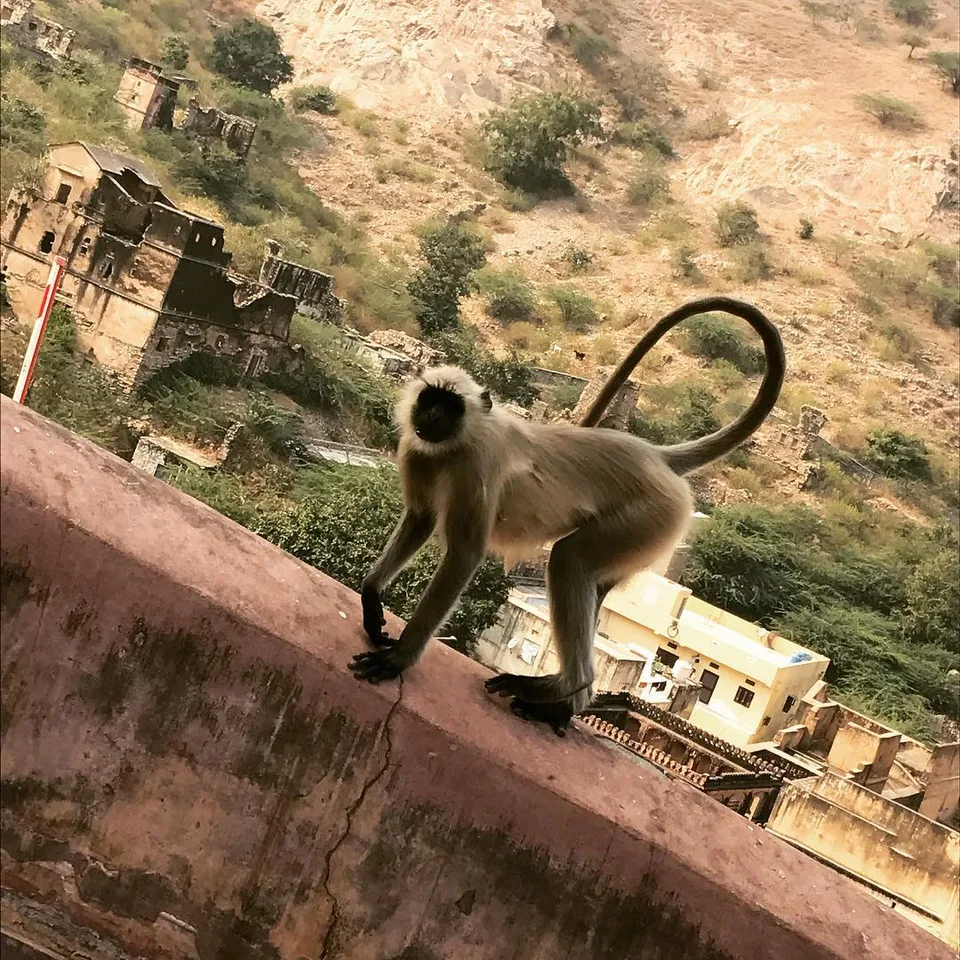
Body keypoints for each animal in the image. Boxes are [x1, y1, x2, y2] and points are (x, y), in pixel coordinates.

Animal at [350, 296, 785, 736]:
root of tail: (655, 456)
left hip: (647, 515)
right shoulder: (418, 452)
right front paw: (371, 599)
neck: (456, 445)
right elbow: (420, 519)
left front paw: (399, 659)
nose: (434, 417)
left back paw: (566, 686)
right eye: (430, 399)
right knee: (593, 581)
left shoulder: (477, 463)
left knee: (568, 559)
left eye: (451, 406)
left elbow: (465, 554)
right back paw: (565, 704)